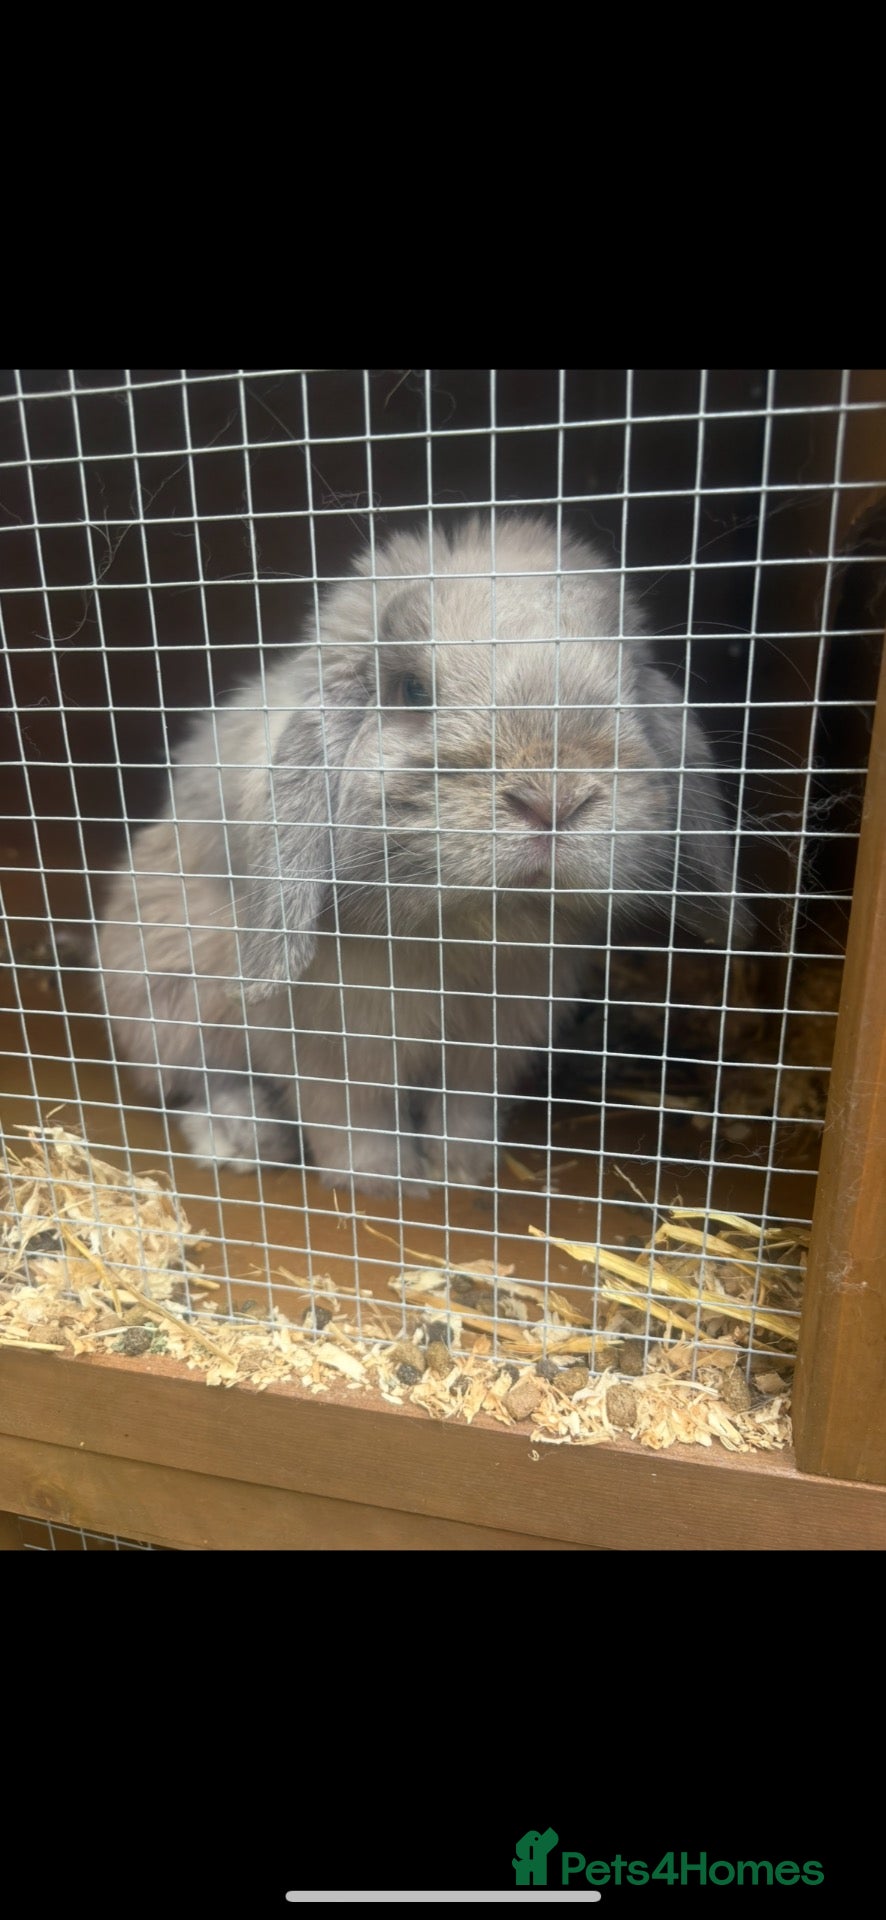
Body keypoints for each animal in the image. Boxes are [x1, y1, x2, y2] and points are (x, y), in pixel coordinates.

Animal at [98, 513, 750, 1194]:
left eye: (628, 684)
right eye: (412, 689)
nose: (554, 800)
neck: (462, 930)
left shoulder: (492, 1037)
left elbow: (465, 1108)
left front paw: (462, 1172)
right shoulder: (330, 1041)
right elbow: (349, 1116)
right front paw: (385, 1185)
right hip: (164, 995)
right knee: (201, 1079)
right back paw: (243, 1137)